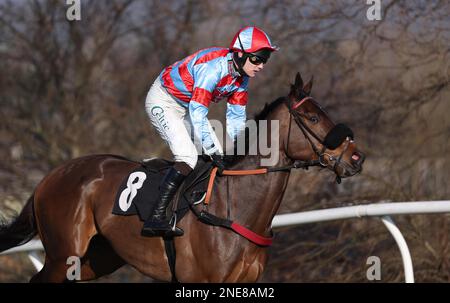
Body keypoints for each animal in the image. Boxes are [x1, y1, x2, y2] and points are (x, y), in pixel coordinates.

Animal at [0, 72, 364, 284]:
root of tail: (48, 178)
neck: (234, 207)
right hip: (65, 255)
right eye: (313, 117)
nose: (356, 157)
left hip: (96, 258)